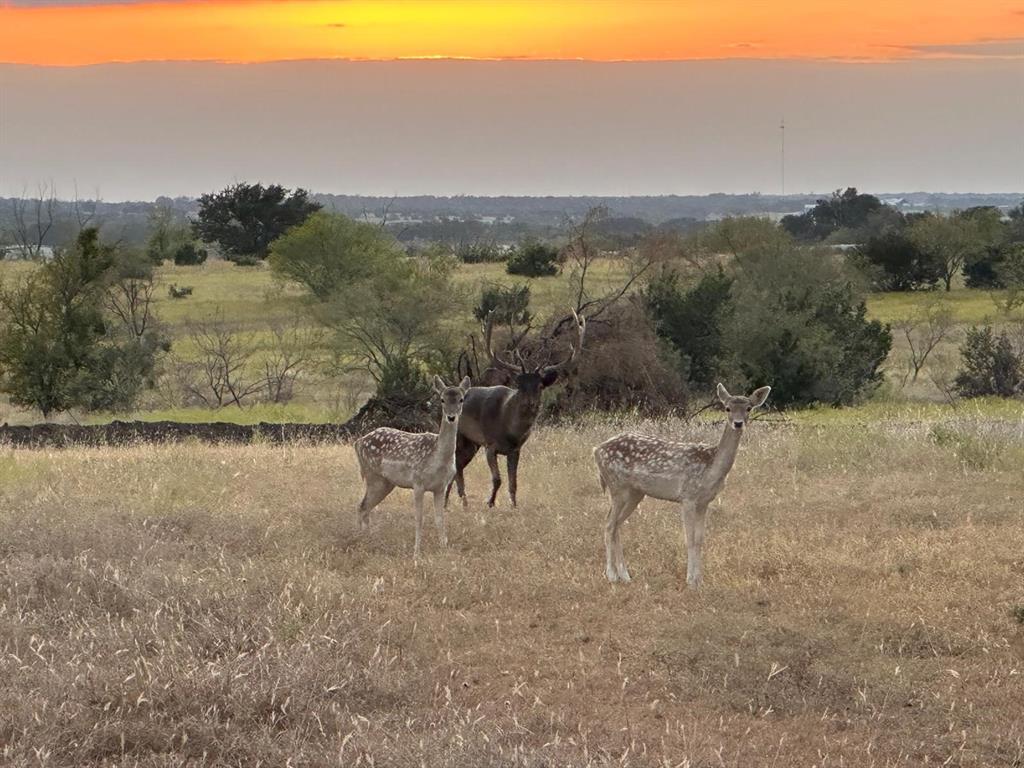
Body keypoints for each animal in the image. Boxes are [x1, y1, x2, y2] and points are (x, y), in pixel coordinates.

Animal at [354, 376, 468, 557]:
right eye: (442, 399)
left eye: (461, 399)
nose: (451, 417)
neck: (438, 459)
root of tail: (358, 442)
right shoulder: (418, 482)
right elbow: (419, 518)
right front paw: (416, 553)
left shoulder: (440, 487)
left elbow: (440, 518)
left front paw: (444, 549)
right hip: (372, 476)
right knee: (362, 506)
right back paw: (362, 541)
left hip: (386, 483)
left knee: (365, 507)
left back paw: (369, 541)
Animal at [446, 307, 589, 512]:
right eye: (519, 385)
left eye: (540, 386)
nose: (530, 403)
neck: (509, 430)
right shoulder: (490, 444)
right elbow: (497, 479)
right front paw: (490, 502)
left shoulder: (516, 449)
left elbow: (514, 482)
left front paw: (514, 505)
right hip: (459, 436)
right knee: (453, 465)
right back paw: (455, 500)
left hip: (471, 444)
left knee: (457, 466)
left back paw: (457, 501)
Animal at [593, 385, 770, 589]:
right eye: (727, 408)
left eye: (749, 408)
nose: (738, 423)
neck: (711, 467)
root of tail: (596, 450)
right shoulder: (687, 497)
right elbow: (690, 539)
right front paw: (691, 582)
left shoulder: (704, 502)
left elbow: (700, 539)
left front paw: (699, 580)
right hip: (617, 486)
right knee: (609, 524)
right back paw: (612, 575)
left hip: (635, 493)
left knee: (616, 525)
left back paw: (625, 575)